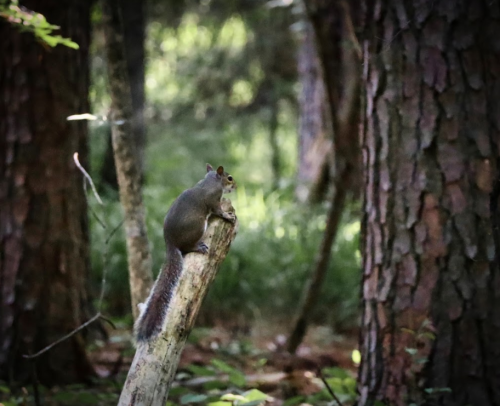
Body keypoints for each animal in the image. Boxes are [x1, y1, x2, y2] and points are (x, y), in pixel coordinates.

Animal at [135, 163, 236, 340]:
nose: (235, 186)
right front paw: (228, 216)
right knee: (187, 248)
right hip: (198, 226)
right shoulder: (214, 200)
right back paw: (198, 247)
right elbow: (219, 211)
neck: (211, 182)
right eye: (229, 178)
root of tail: (171, 243)